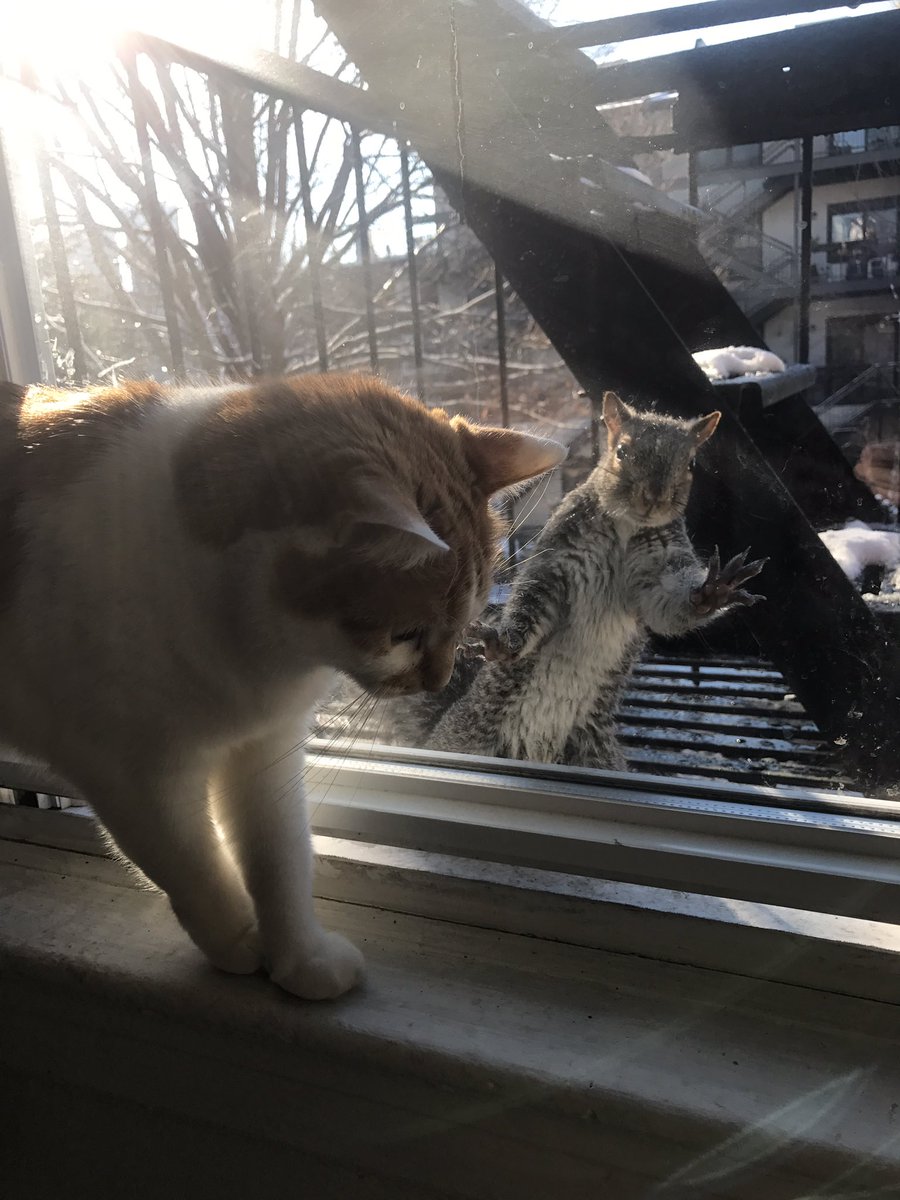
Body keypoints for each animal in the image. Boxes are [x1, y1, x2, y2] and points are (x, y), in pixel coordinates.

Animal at [424, 392, 766, 768]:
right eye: (622, 452)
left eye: (690, 463)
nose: (654, 498)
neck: (626, 526)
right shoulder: (556, 562)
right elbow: (533, 605)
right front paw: (500, 643)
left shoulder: (656, 570)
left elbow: (668, 608)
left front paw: (712, 591)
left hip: (594, 754)